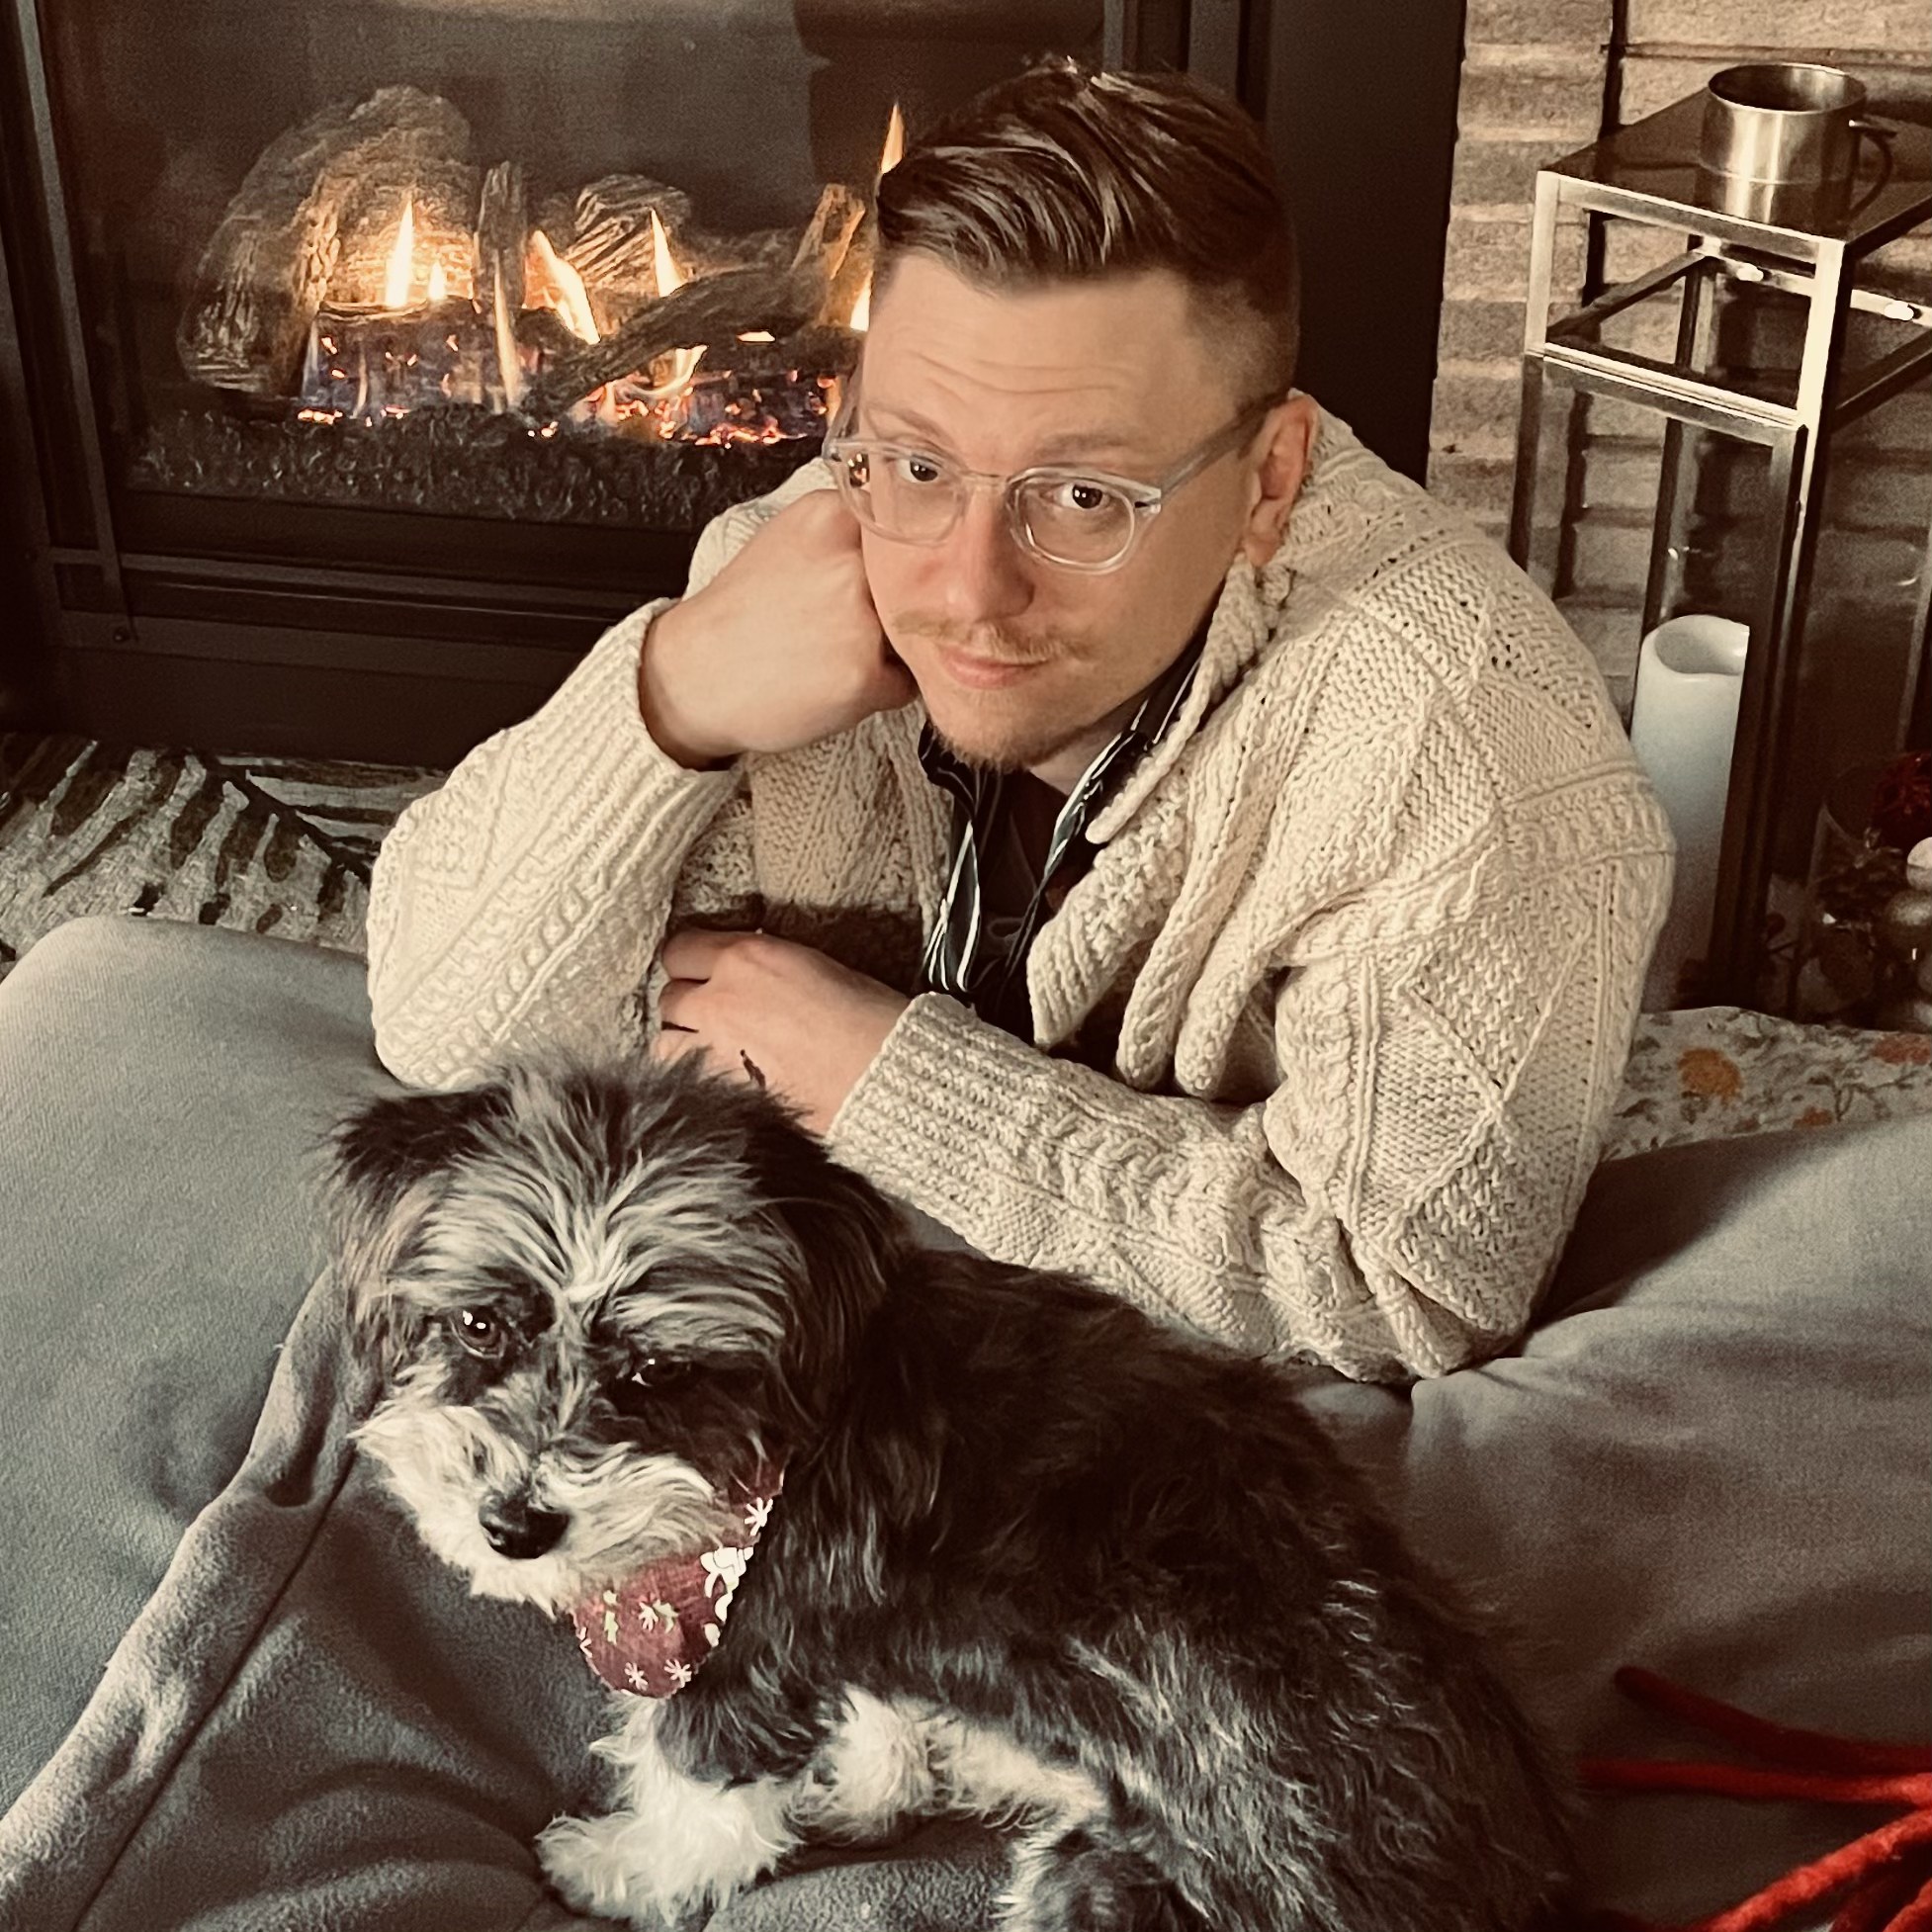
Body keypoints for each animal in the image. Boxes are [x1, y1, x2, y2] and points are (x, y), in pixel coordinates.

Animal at [328, 1058, 1568, 1932]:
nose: (514, 1525)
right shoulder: (864, 1626)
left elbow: (699, 1805)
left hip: (1118, 1887)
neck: (790, 1419)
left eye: (659, 1373)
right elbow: (876, 1713)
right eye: (479, 1323)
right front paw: (871, 1780)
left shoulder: (738, 1656)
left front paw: (620, 1867)